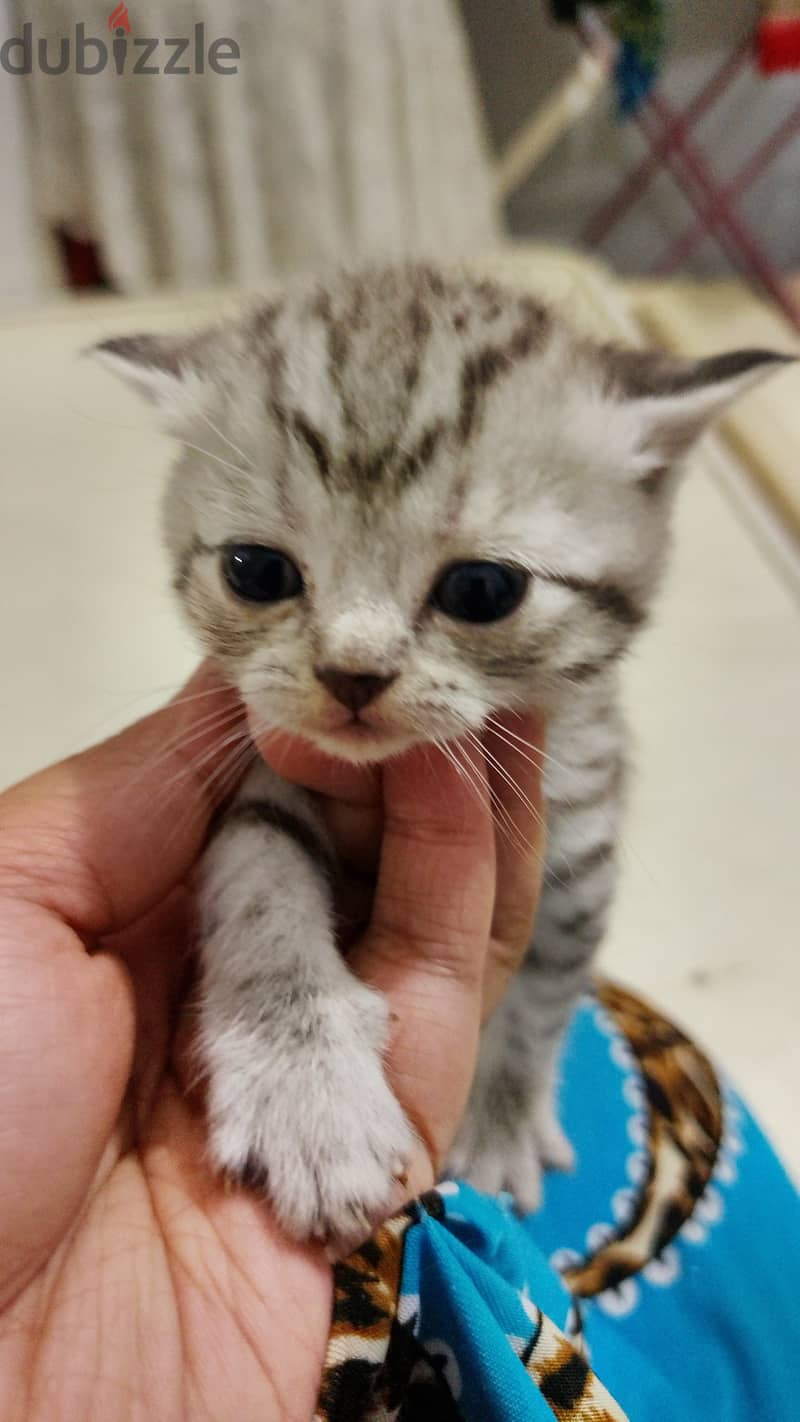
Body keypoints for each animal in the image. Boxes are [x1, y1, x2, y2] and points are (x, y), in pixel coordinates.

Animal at [95, 264, 790, 1245]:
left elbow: (543, 991)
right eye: (257, 572)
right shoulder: (264, 771)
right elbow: (261, 883)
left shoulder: (579, 840)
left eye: (484, 589)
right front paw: (305, 1091)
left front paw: (498, 1123)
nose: (351, 673)